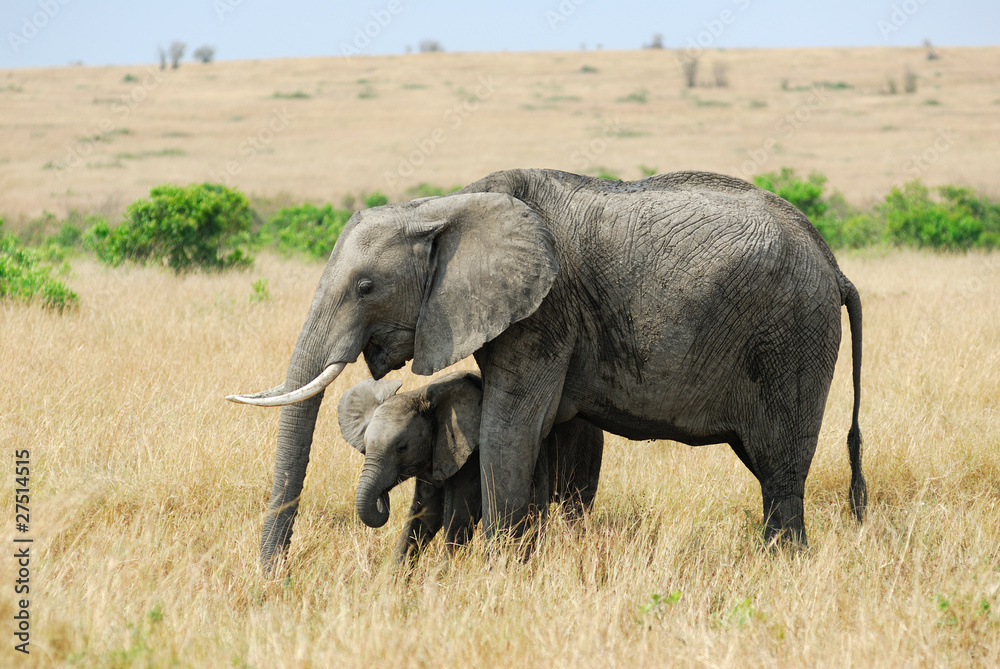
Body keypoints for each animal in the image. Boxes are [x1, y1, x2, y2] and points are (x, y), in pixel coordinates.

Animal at [338, 370, 600, 564]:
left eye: (402, 448)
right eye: (365, 447)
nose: (383, 496)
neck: (421, 394)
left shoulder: (473, 453)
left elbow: (458, 516)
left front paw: (443, 579)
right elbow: (425, 514)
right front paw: (395, 581)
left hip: (585, 443)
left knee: (575, 505)